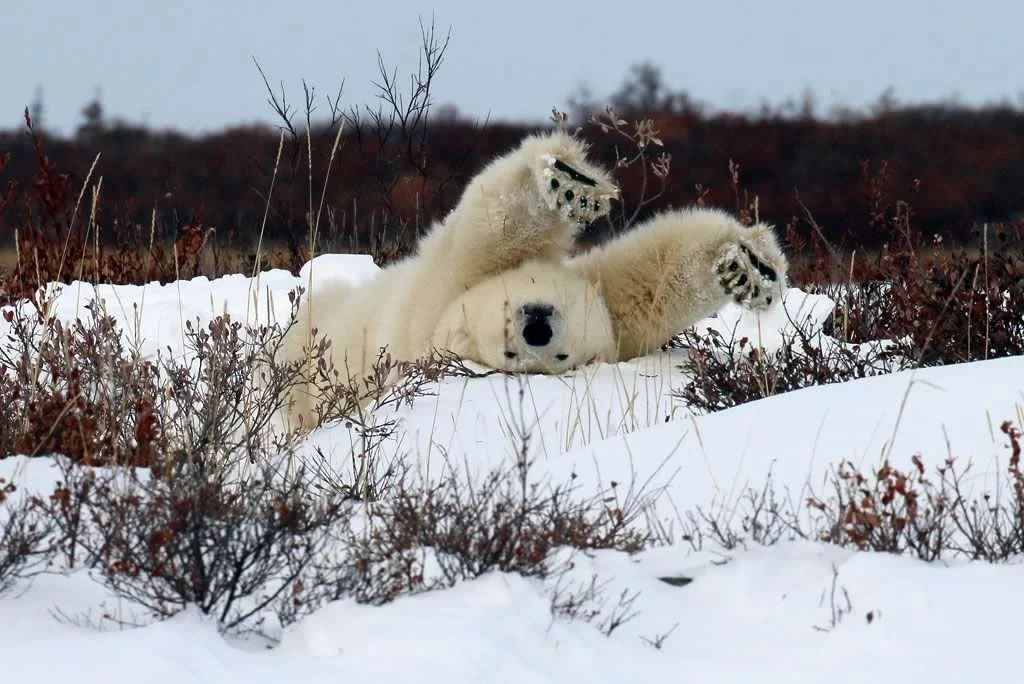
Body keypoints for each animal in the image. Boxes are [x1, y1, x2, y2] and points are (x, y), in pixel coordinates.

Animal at [275, 129, 788, 432]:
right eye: (508, 354)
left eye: (561, 356)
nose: (536, 328)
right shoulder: (437, 295)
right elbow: (493, 222)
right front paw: (569, 180)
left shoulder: (616, 310)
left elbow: (651, 277)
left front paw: (749, 269)